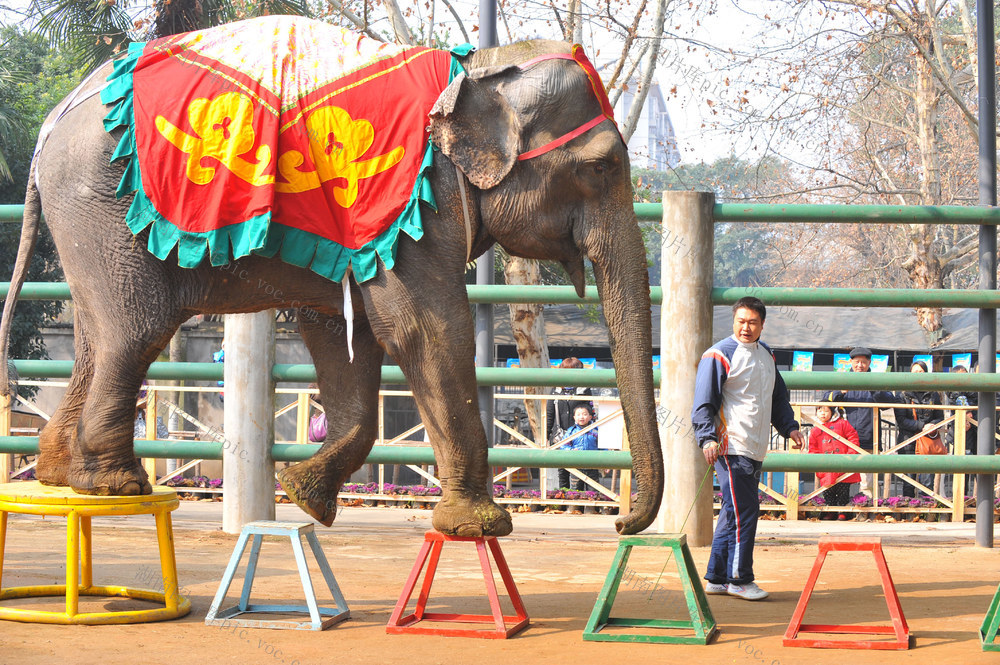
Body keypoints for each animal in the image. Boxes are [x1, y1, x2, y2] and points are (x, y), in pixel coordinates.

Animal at [0, 18, 664, 536]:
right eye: (602, 167)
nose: (621, 524)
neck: (473, 71)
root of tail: (54, 118)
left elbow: (342, 331)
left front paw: (305, 497)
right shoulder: (413, 207)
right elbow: (424, 328)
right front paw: (479, 526)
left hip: (88, 222)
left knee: (96, 333)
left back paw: (59, 472)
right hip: (102, 202)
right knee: (137, 329)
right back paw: (114, 485)